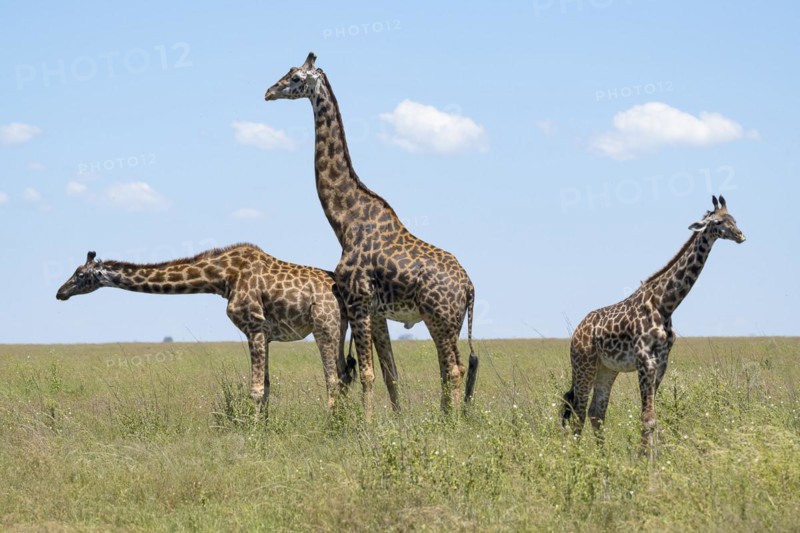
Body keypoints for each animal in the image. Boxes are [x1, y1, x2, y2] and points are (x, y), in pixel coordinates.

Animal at [55, 243, 356, 416]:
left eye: (80, 274)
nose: (60, 292)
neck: (222, 278)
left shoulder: (255, 327)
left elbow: (256, 390)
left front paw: (255, 435)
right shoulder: (265, 334)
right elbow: (267, 387)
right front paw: (265, 428)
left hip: (323, 325)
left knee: (333, 379)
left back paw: (331, 426)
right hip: (340, 327)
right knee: (344, 375)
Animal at [264, 52, 478, 419]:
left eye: (295, 78)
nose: (268, 91)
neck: (345, 223)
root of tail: (469, 286)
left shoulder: (358, 302)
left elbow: (366, 374)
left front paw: (366, 425)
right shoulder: (377, 312)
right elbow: (391, 373)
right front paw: (399, 423)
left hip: (440, 317)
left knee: (452, 368)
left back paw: (452, 422)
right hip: (449, 322)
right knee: (452, 367)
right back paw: (448, 417)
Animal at [562, 196, 745, 448]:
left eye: (734, 218)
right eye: (718, 221)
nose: (741, 235)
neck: (665, 304)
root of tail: (577, 332)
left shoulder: (661, 362)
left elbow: (650, 416)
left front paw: (649, 456)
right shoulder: (644, 359)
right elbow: (648, 417)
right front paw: (647, 459)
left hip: (606, 368)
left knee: (595, 412)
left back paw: (603, 456)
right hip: (583, 364)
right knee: (578, 410)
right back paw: (578, 456)